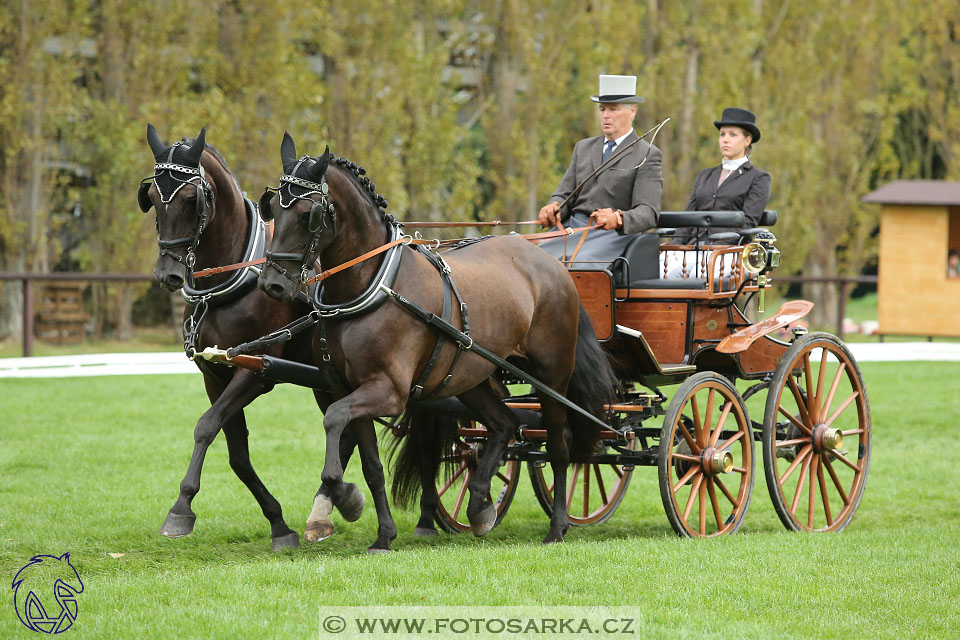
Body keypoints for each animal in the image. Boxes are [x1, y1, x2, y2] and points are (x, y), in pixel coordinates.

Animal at [136, 125, 398, 552]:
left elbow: (206, 426)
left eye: (192, 199)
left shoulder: (255, 372)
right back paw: (324, 511)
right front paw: (278, 523)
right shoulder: (215, 375)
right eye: (154, 199)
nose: (168, 275)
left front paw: (181, 507)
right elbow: (237, 455)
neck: (230, 283)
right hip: (327, 379)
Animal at [256, 134, 616, 544]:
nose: (272, 284)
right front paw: (382, 534)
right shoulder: (347, 387)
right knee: (505, 424)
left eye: (307, 215)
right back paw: (479, 506)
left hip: (552, 376)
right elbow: (369, 463)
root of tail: (555, 265)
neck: (372, 286)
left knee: (558, 445)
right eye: (272, 209)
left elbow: (334, 420)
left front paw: (344, 497)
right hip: (473, 376)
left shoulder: (389, 391)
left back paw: (556, 526)